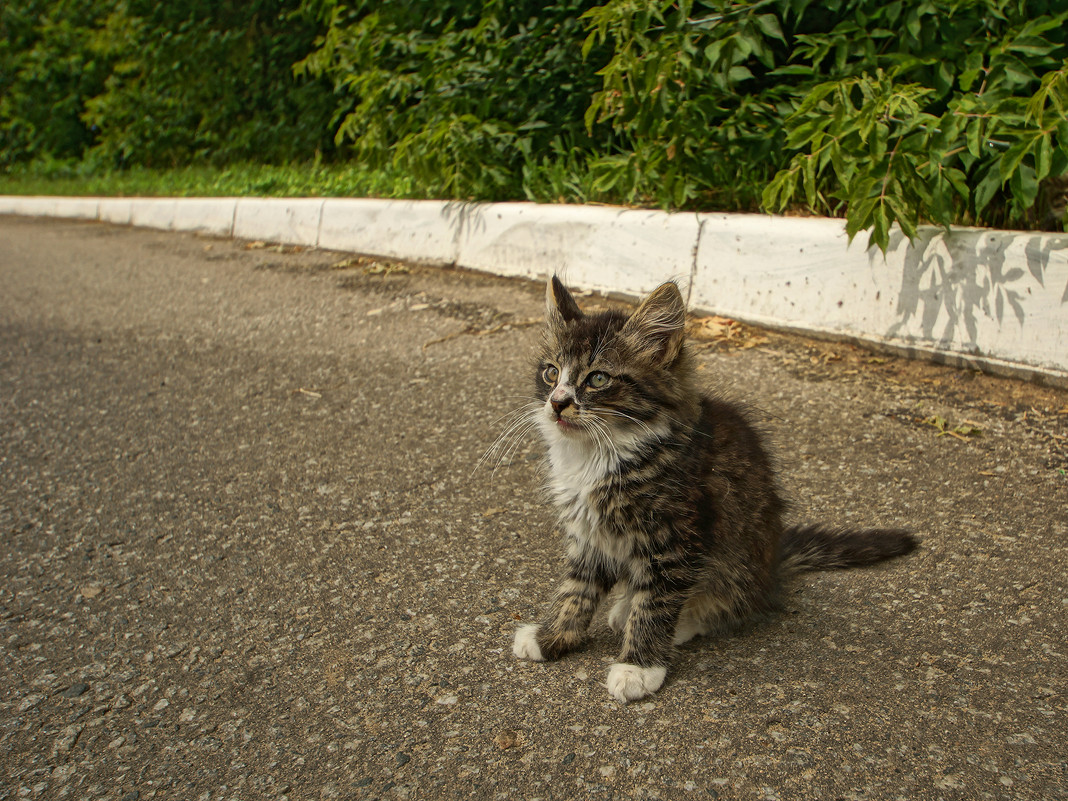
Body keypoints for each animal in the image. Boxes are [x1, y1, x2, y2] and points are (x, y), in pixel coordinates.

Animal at [510, 279, 918, 704]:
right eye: (551, 373)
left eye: (598, 379)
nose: (557, 403)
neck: (596, 454)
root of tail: (772, 566)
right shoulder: (590, 535)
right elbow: (576, 590)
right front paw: (551, 637)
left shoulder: (677, 541)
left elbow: (655, 604)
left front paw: (639, 667)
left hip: (736, 563)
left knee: (721, 604)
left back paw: (678, 622)